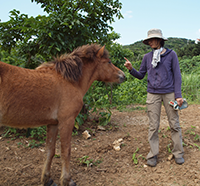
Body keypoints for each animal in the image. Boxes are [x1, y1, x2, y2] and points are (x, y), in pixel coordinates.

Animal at [0, 44, 125, 186]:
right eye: (108, 62)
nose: (123, 76)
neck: (69, 81)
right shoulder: (67, 121)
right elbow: (66, 151)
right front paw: (67, 180)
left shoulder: (53, 123)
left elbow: (50, 151)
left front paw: (47, 179)